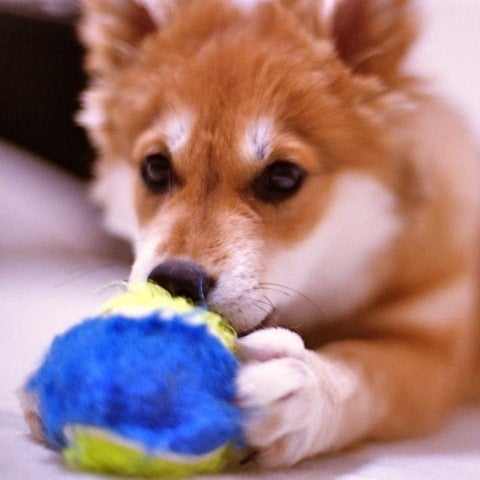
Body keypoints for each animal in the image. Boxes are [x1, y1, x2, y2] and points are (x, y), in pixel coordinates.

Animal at [76, 0, 480, 468]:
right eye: (155, 168)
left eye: (283, 177)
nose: (175, 282)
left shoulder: (435, 352)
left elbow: (366, 367)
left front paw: (307, 388)